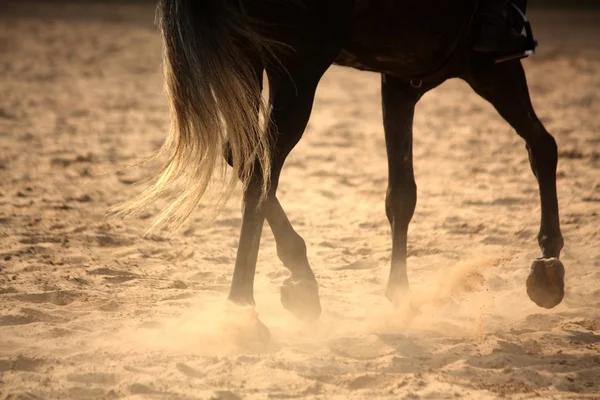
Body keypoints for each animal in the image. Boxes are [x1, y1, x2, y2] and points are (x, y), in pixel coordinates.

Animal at [118, 0, 568, 324]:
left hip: (248, 60)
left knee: (244, 157)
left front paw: (399, 294)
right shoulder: (491, 67)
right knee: (262, 172)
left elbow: (401, 194)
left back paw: (300, 276)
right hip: (296, 70)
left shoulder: (401, 80)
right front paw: (549, 262)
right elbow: (543, 147)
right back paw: (242, 305)